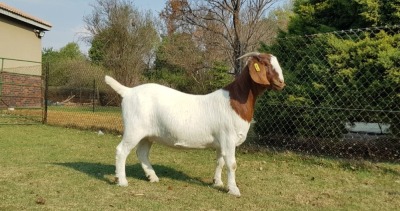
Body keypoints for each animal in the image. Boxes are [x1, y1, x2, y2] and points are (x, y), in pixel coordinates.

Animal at [103, 52, 284, 197]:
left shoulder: (221, 141)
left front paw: (217, 182)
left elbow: (220, 161)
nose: (281, 83)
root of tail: (128, 91)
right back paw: (122, 181)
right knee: (121, 151)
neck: (235, 101)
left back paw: (152, 177)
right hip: (134, 129)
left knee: (142, 153)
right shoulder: (229, 138)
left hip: (147, 135)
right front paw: (233, 190)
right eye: (266, 64)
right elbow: (231, 164)